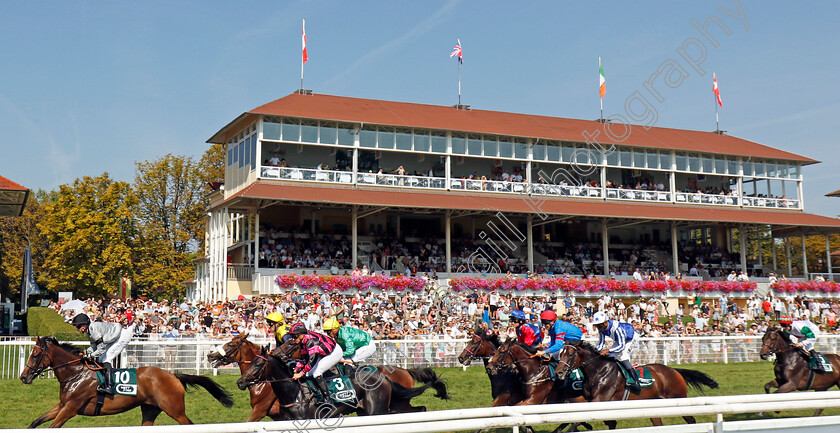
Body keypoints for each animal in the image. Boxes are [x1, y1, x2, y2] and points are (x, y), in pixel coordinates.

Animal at [20, 336, 236, 426]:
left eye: (35, 354)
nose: (23, 377)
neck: (76, 374)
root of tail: (173, 375)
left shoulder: (71, 408)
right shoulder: (62, 405)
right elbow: (36, 422)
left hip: (174, 410)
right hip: (150, 409)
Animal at [556, 340, 716, 428]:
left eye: (570, 355)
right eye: (560, 354)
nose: (558, 373)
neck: (598, 371)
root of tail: (674, 370)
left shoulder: (599, 400)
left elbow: (578, 420)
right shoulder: (587, 400)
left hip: (678, 400)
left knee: (692, 419)